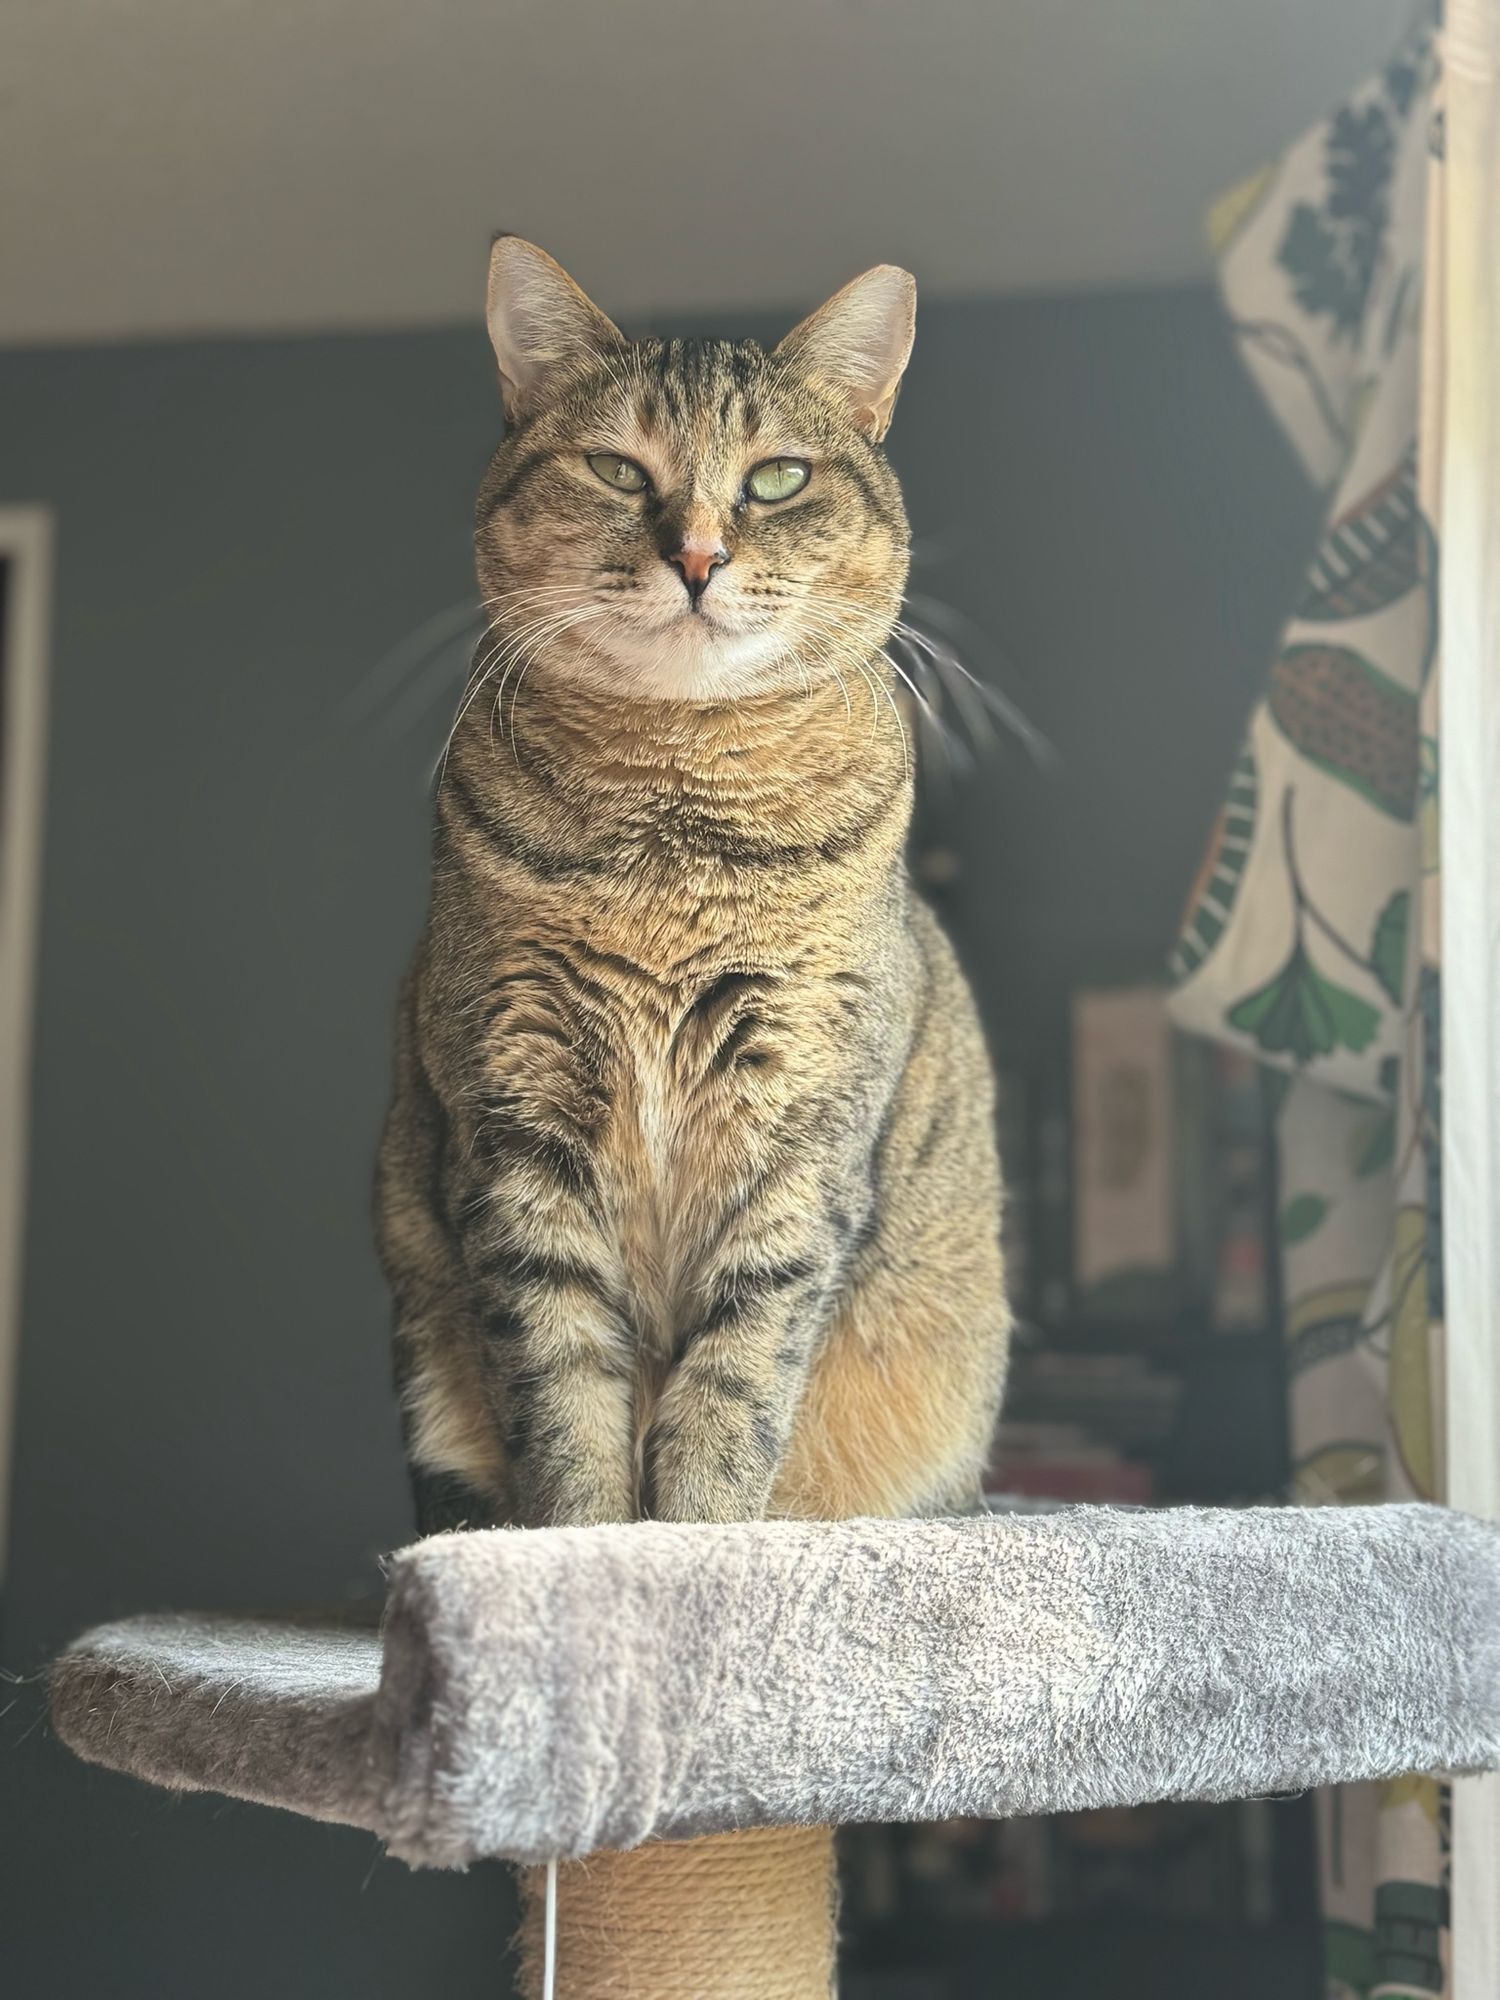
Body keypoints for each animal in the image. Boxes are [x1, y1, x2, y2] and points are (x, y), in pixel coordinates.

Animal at [374, 238, 1012, 1528]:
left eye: (775, 478)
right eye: (619, 469)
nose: (700, 556)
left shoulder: (801, 1130)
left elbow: (734, 1386)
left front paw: (696, 1543)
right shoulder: (518, 1122)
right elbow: (563, 1391)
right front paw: (581, 1550)